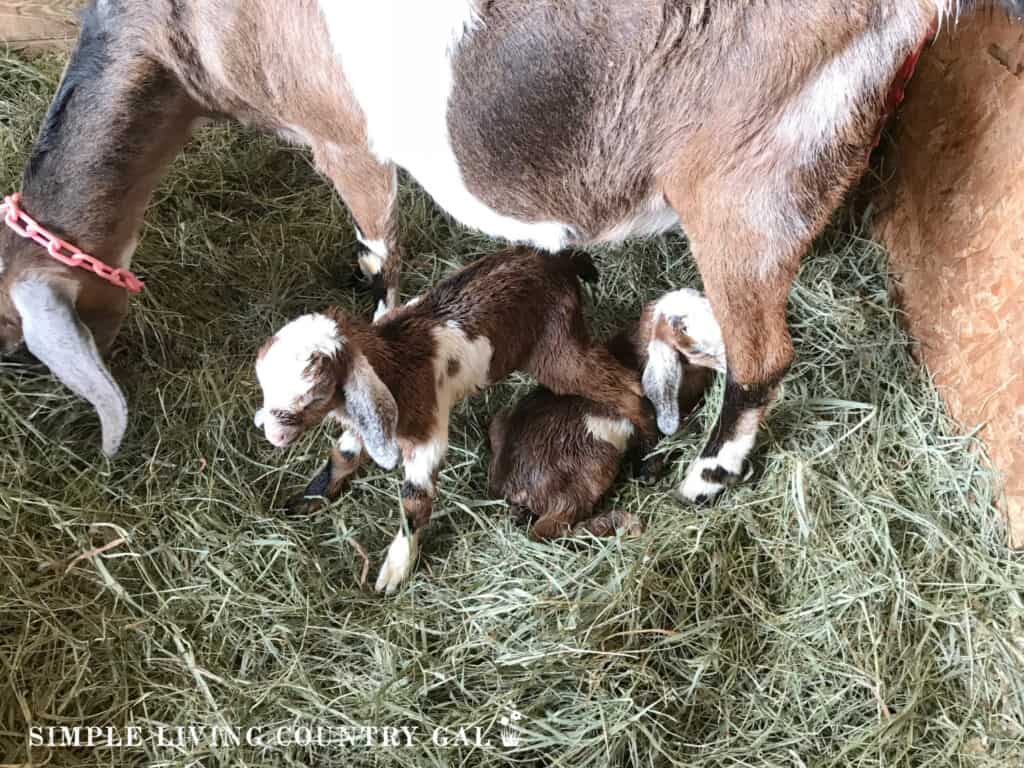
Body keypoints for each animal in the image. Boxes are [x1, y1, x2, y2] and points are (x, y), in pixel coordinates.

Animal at [0, 1, 1019, 499]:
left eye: (14, 336)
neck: (179, 30)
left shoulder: (343, 138)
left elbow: (383, 243)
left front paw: (379, 316)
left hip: (740, 182)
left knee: (763, 352)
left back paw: (708, 475)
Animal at [487, 290, 720, 540]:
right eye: (683, 328)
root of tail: (512, 484)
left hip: (501, 423)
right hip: (587, 465)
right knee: (548, 530)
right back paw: (620, 521)